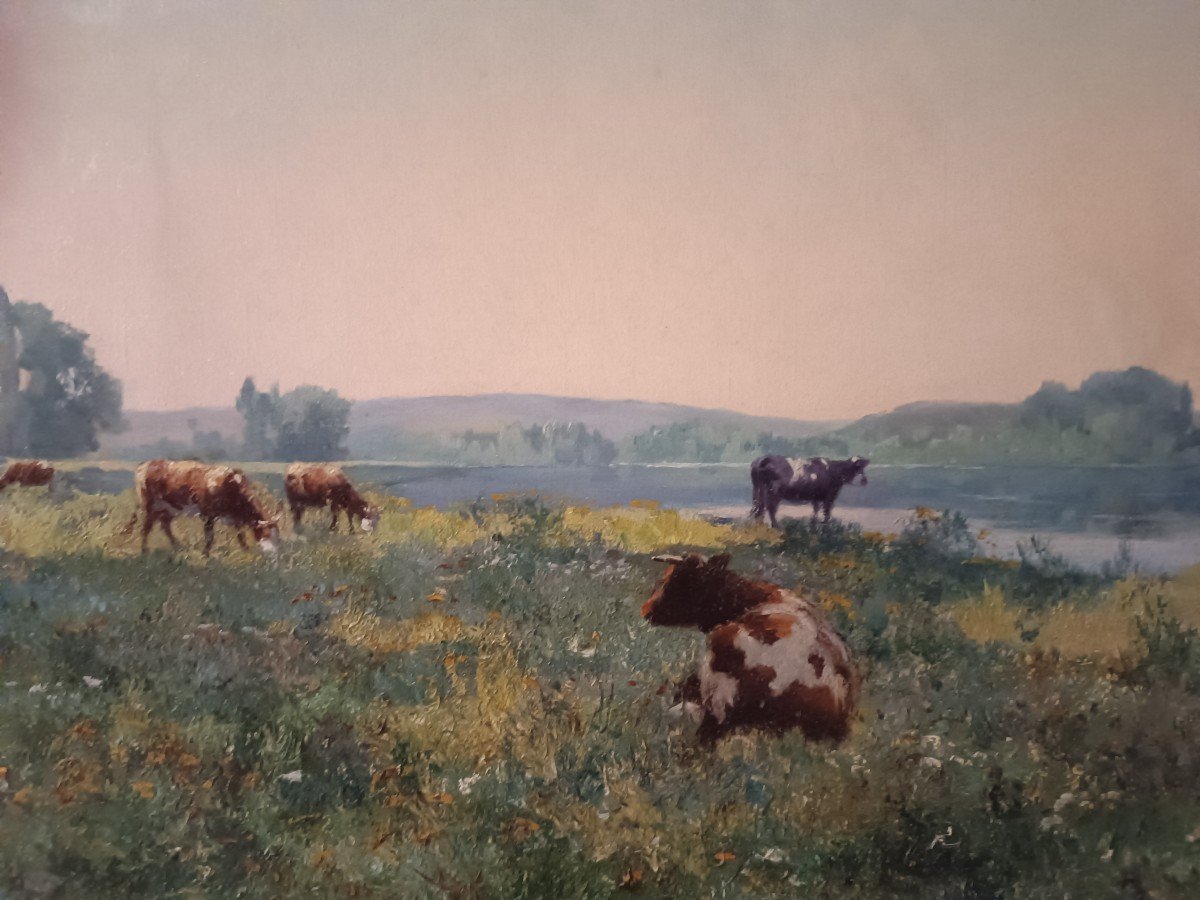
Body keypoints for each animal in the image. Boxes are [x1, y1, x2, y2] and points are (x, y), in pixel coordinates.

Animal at [130, 465, 279, 556]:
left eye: (278, 536)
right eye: (266, 534)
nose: (274, 554)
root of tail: (145, 465)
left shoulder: (235, 517)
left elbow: (241, 537)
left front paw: (247, 553)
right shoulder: (208, 515)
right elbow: (209, 538)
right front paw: (205, 555)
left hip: (166, 509)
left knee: (165, 526)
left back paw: (178, 547)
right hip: (151, 506)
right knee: (146, 528)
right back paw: (144, 551)